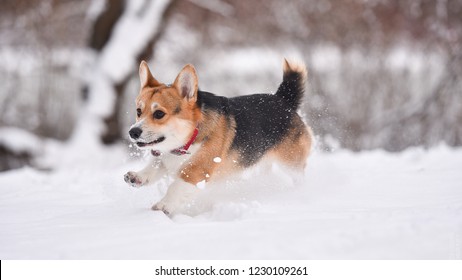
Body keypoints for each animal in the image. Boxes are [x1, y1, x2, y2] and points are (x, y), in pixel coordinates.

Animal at [124, 58, 312, 214]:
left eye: (159, 114)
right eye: (138, 111)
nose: (133, 132)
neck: (189, 136)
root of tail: (284, 100)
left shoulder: (197, 170)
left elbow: (176, 187)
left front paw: (163, 205)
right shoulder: (165, 158)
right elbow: (154, 167)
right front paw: (137, 177)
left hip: (290, 163)